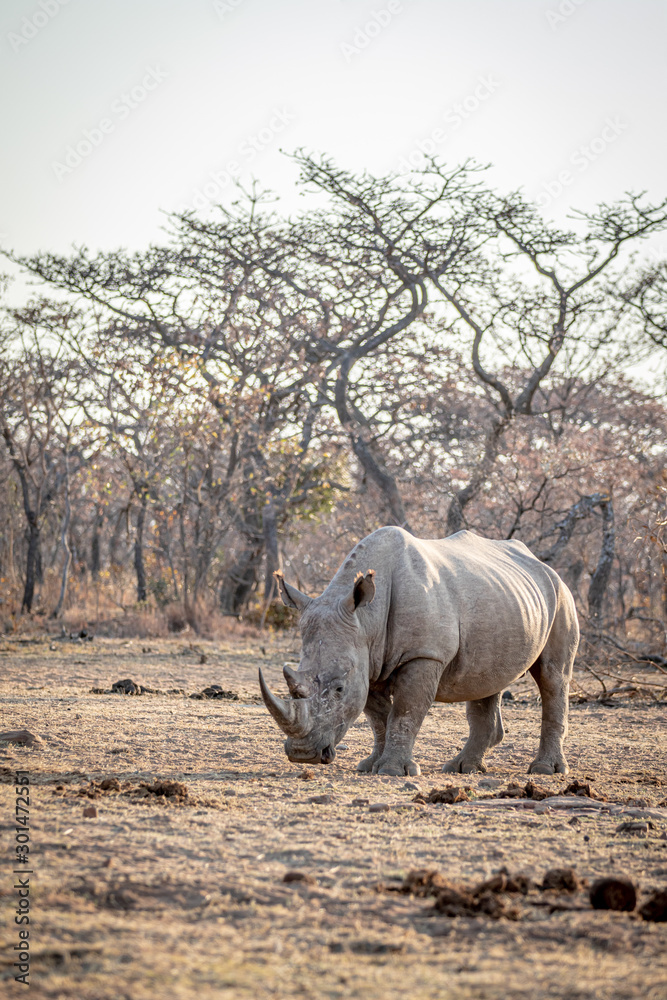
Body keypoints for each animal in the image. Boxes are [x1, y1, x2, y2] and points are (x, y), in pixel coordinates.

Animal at [259, 527, 579, 776]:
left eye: (339, 689)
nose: (302, 754)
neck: (366, 619)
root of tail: (541, 564)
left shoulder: (424, 654)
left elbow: (404, 711)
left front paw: (391, 771)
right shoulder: (367, 661)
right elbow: (378, 718)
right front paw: (370, 765)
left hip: (561, 595)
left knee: (553, 677)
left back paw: (545, 770)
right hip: (504, 599)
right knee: (487, 680)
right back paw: (462, 768)